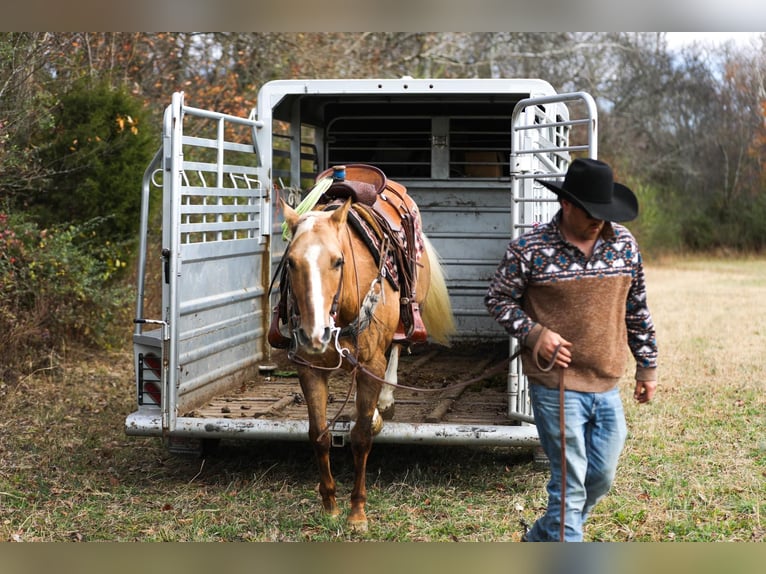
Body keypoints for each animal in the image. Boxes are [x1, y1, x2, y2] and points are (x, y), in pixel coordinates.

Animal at [278, 169, 452, 532]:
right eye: (291, 262)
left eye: (338, 261)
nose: (315, 334)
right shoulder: (308, 367)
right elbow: (319, 434)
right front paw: (330, 505)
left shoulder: (371, 363)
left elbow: (360, 438)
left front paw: (357, 513)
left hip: (405, 316)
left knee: (397, 348)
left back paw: (383, 402)